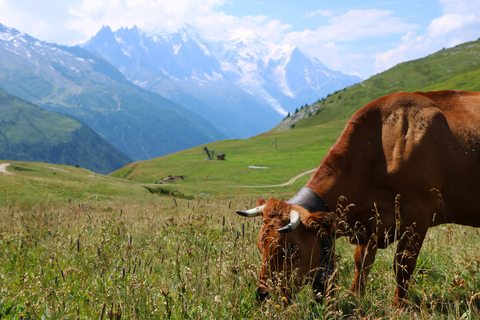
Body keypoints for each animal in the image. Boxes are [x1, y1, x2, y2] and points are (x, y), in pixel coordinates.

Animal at [238, 90, 480, 304]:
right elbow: (361, 265)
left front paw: (398, 307)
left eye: (289, 251)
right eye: (259, 246)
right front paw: (354, 299)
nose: (262, 294)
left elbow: (403, 267)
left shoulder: (418, 218)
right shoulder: (369, 226)